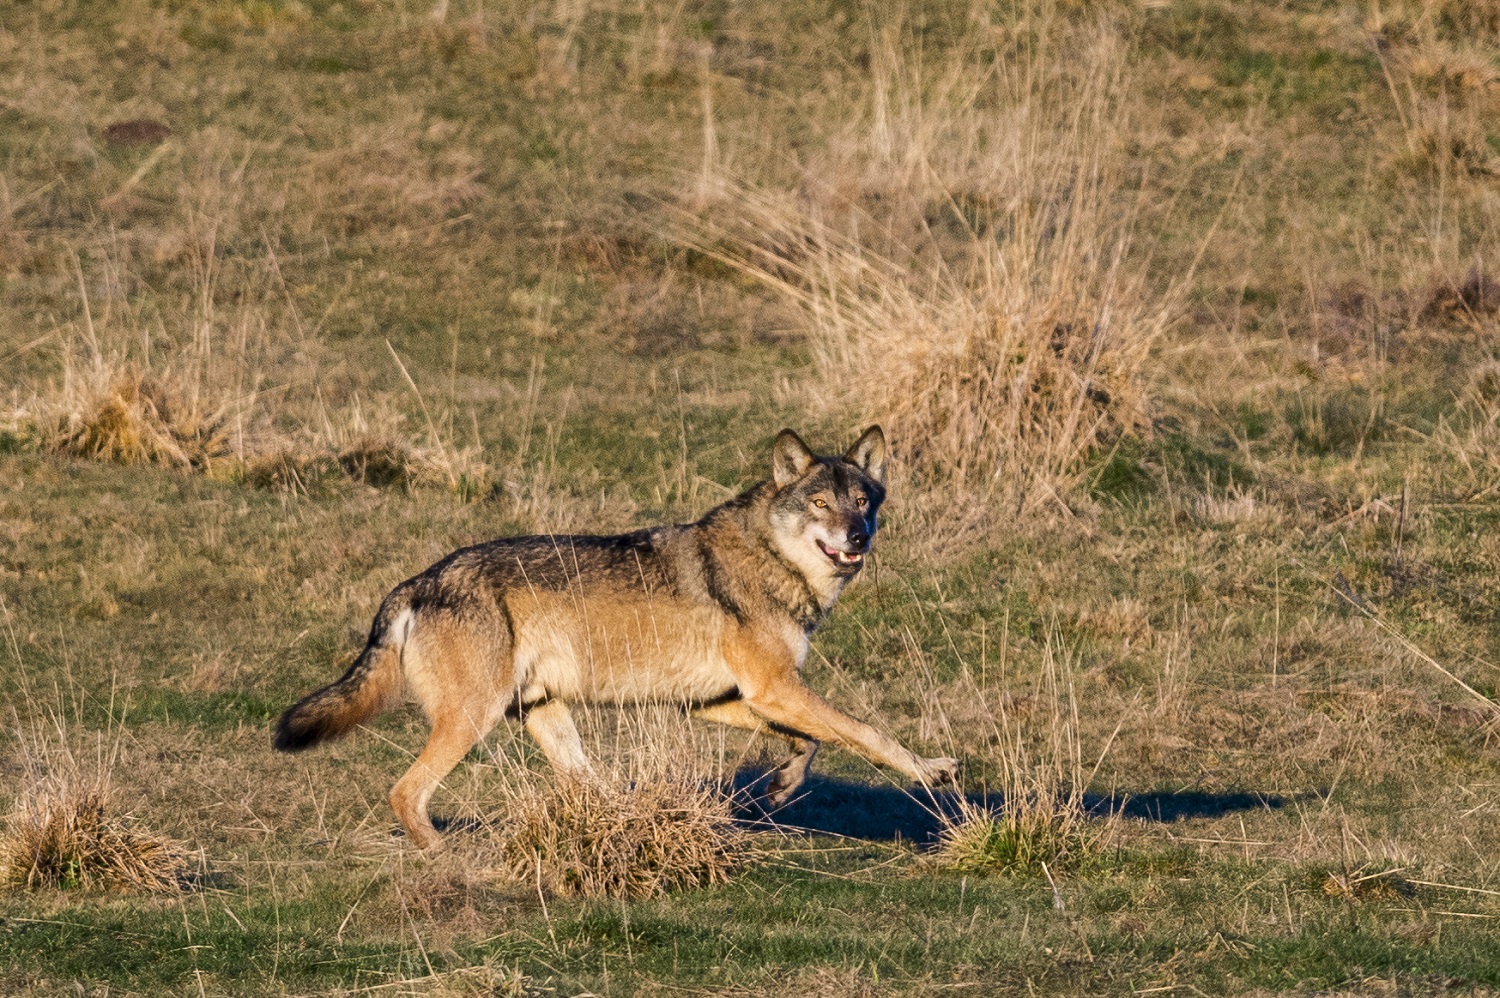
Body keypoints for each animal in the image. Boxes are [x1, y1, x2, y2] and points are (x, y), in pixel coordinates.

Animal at [276, 423, 960, 846]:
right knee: (405, 794)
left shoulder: (723, 700)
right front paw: (931, 772)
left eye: (863, 501)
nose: (857, 536)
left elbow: (811, 742)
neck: (775, 561)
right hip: (473, 720)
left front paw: (783, 784)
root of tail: (415, 584)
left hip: (545, 717)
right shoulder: (773, 688)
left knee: (587, 787)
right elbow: (867, 731)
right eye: (821, 503)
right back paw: (453, 867)